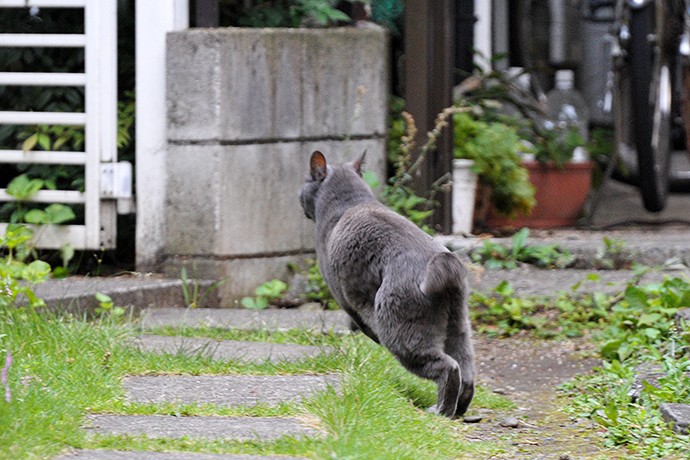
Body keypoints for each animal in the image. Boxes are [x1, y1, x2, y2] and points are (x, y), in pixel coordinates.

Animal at [298, 151, 476, 416]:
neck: (348, 203)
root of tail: (444, 263)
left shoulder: (345, 297)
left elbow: (359, 321)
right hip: (459, 324)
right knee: (467, 373)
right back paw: (458, 410)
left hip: (401, 332)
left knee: (448, 367)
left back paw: (439, 411)